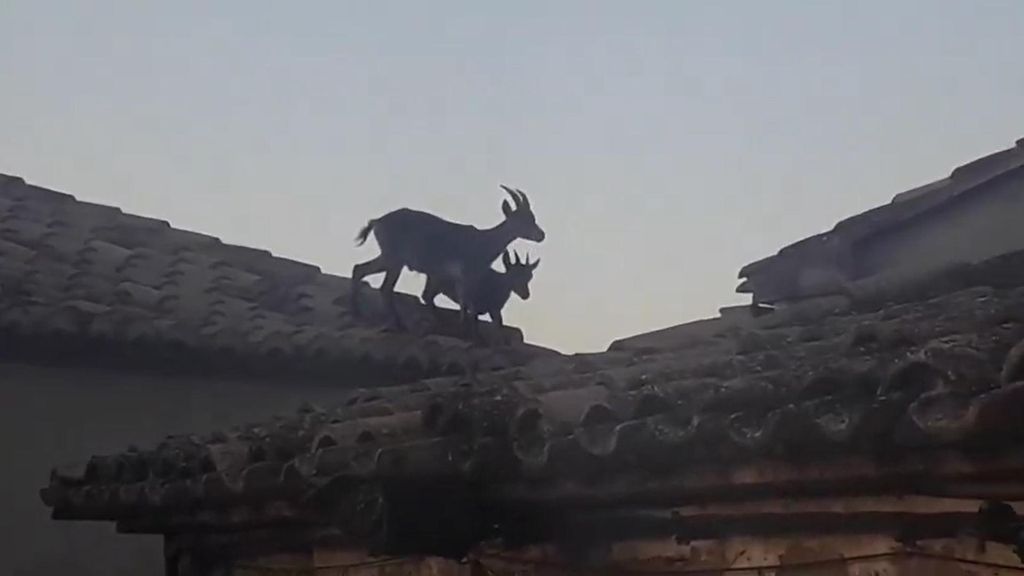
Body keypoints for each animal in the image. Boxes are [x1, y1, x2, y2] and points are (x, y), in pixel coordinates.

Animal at [351, 186, 545, 331]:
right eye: (523, 219)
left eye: (533, 217)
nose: (541, 235)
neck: (483, 242)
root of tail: (377, 221)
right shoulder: (465, 279)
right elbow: (468, 310)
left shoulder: (453, 279)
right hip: (394, 259)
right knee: (384, 287)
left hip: (388, 258)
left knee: (360, 269)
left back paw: (359, 313)